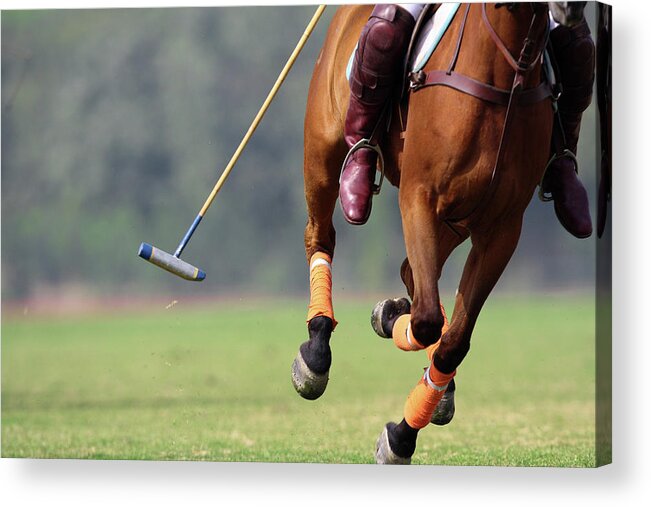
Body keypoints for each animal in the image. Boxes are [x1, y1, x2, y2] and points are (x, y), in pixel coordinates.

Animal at [294, 3, 576, 464]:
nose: (568, 10)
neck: (505, 77)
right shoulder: (419, 196)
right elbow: (427, 321)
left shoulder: (502, 227)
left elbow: (453, 337)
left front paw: (402, 434)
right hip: (322, 148)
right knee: (320, 235)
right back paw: (316, 352)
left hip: (457, 218)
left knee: (413, 273)